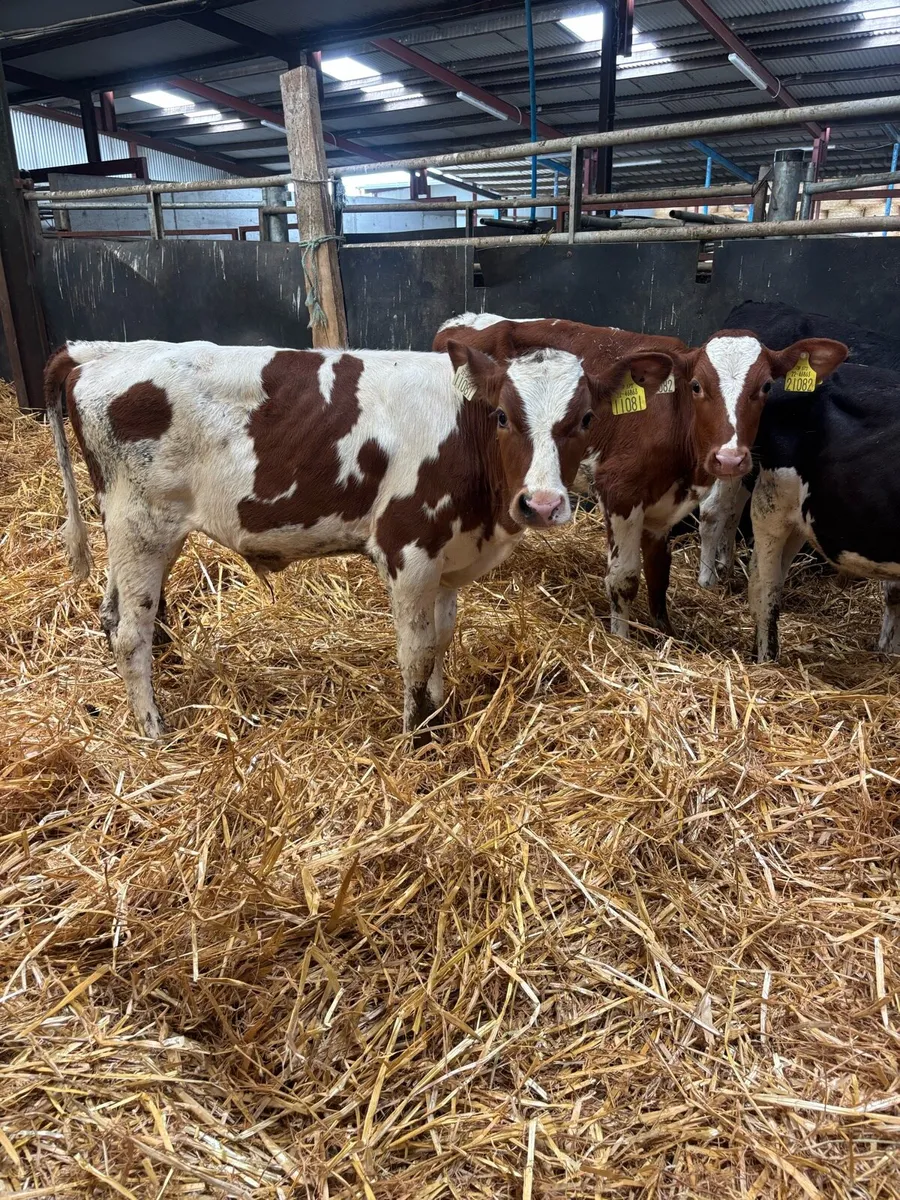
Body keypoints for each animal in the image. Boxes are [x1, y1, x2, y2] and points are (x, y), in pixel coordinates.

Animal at [45, 337, 673, 742]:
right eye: (501, 416)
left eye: (586, 419)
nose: (540, 504)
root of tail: (98, 352)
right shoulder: (409, 547)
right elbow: (416, 650)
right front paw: (418, 736)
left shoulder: (447, 558)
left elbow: (442, 638)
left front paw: (439, 711)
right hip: (140, 523)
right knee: (131, 632)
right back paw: (152, 728)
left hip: (140, 530)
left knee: (112, 614)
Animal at [435, 313, 846, 639]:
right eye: (696, 386)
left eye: (765, 387)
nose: (729, 459)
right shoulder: (620, 491)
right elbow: (625, 577)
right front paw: (623, 640)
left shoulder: (665, 506)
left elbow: (659, 572)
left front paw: (665, 631)